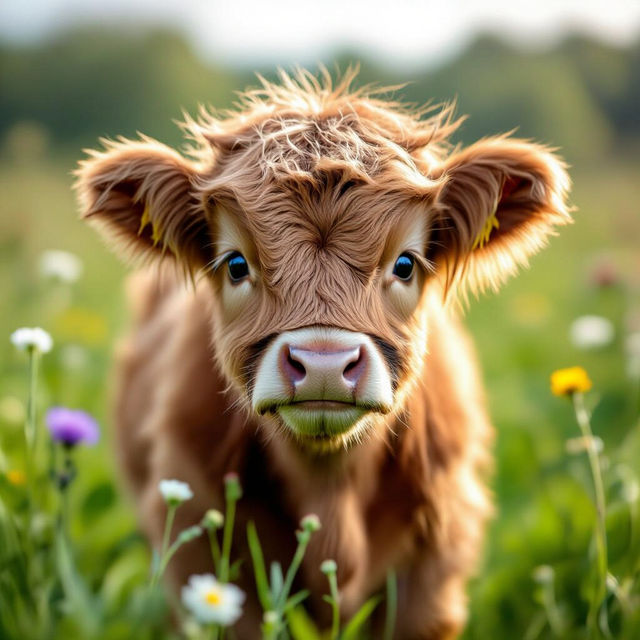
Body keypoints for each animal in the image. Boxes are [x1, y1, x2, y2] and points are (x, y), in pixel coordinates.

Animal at [76, 69, 571, 639]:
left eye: (405, 264)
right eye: (236, 264)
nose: (324, 365)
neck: (331, 489)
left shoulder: (435, 569)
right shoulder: (198, 543)